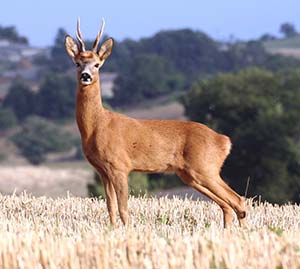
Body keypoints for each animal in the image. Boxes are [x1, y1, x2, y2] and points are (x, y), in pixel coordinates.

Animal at [65, 18, 246, 227]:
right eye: (77, 63)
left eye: (97, 64)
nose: (86, 76)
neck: (96, 126)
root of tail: (224, 141)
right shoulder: (102, 170)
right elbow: (110, 207)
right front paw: (112, 230)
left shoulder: (120, 166)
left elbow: (123, 209)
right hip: (190, 174)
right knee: (227, 205)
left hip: (205, 168)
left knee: (238, 200)